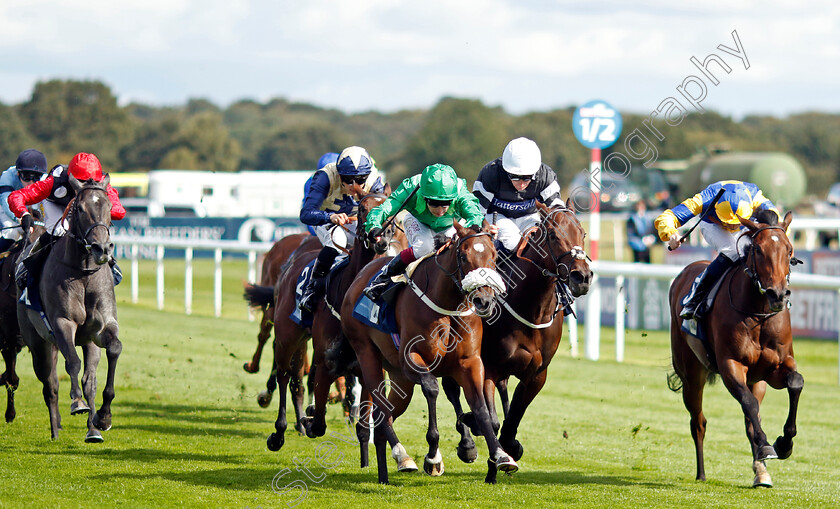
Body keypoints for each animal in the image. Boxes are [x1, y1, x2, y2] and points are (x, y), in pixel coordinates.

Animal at [18, 175, 123, 440]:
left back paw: (93, 429)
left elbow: (113, 349)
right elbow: (72, 363)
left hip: (85, 342)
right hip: (39, 343)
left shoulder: (102, 327)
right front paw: (77, 402)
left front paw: (104, 417)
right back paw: (56, 430)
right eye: (81, 208)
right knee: (51, 384)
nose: (102, 248)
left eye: (109, 207)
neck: (83, 272)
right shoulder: (62, 323)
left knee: (89, 380)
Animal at [340, 222, 512, 484]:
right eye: (464, 256)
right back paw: (402, 456)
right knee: (381, 409)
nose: (484, 300)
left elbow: (481, 408)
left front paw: (501, 455)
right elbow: (432, 388)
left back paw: (385, 474)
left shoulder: (470, 363)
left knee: (384, 418)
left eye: (493, 256)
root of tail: (359, 277)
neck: (448, 304)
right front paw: (433, 458)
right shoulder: (411, 359)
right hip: (367, 353)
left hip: (400, 380)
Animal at [440, 198, 592, 480]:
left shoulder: (537, 374)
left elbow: (512, 421)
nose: (582, 277)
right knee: (451, 389)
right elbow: (491, 419)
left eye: (583, 233)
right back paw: (467, 444)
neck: (530, 307)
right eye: (553, 235)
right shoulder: (487, 367)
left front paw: (510, 451)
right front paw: (484, 441)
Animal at [668, 211, 800, 488]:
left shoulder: (774, 368)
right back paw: (701, 473)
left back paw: (761, 472)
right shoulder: (731, 365)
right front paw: (768, 445)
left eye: (789, 249)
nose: (778, 294)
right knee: (698, 422)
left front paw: (784, 444)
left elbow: (795, 383)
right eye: (758, 250)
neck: (758, 312)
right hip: (691, 375)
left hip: (757, 381)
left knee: (750, 419)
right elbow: (748, 404)